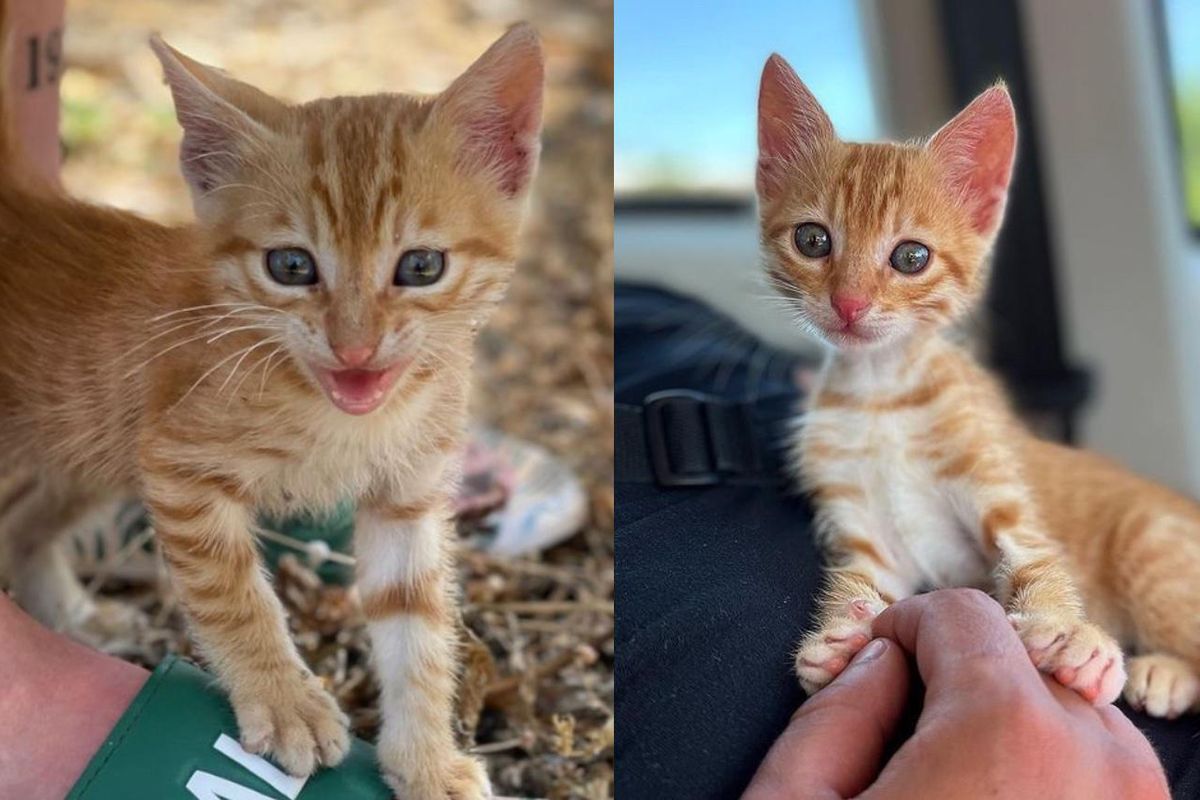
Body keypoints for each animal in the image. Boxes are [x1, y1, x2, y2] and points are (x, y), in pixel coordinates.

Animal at [0, 18, 540, 800]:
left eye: (421, 266)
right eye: (291, 266)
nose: (354, 346)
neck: (346, 416)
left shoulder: (407, 497)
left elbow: (418, 630)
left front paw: (426, 760)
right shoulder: (178, 466)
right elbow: (234, 596)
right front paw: (286, 702)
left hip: (85, 448)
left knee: (21, 520)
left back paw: (70, 613)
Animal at [753, 54, 1200, 719]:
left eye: (910, 257)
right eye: (813, 240)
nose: (849, 304)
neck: (882, 395)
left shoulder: (1001, 492)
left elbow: (1038, 561)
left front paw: (1071, 637)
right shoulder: (863, 532)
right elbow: (857, 580)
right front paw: (838, 637)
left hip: (1150, 544)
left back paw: (1166, 670)